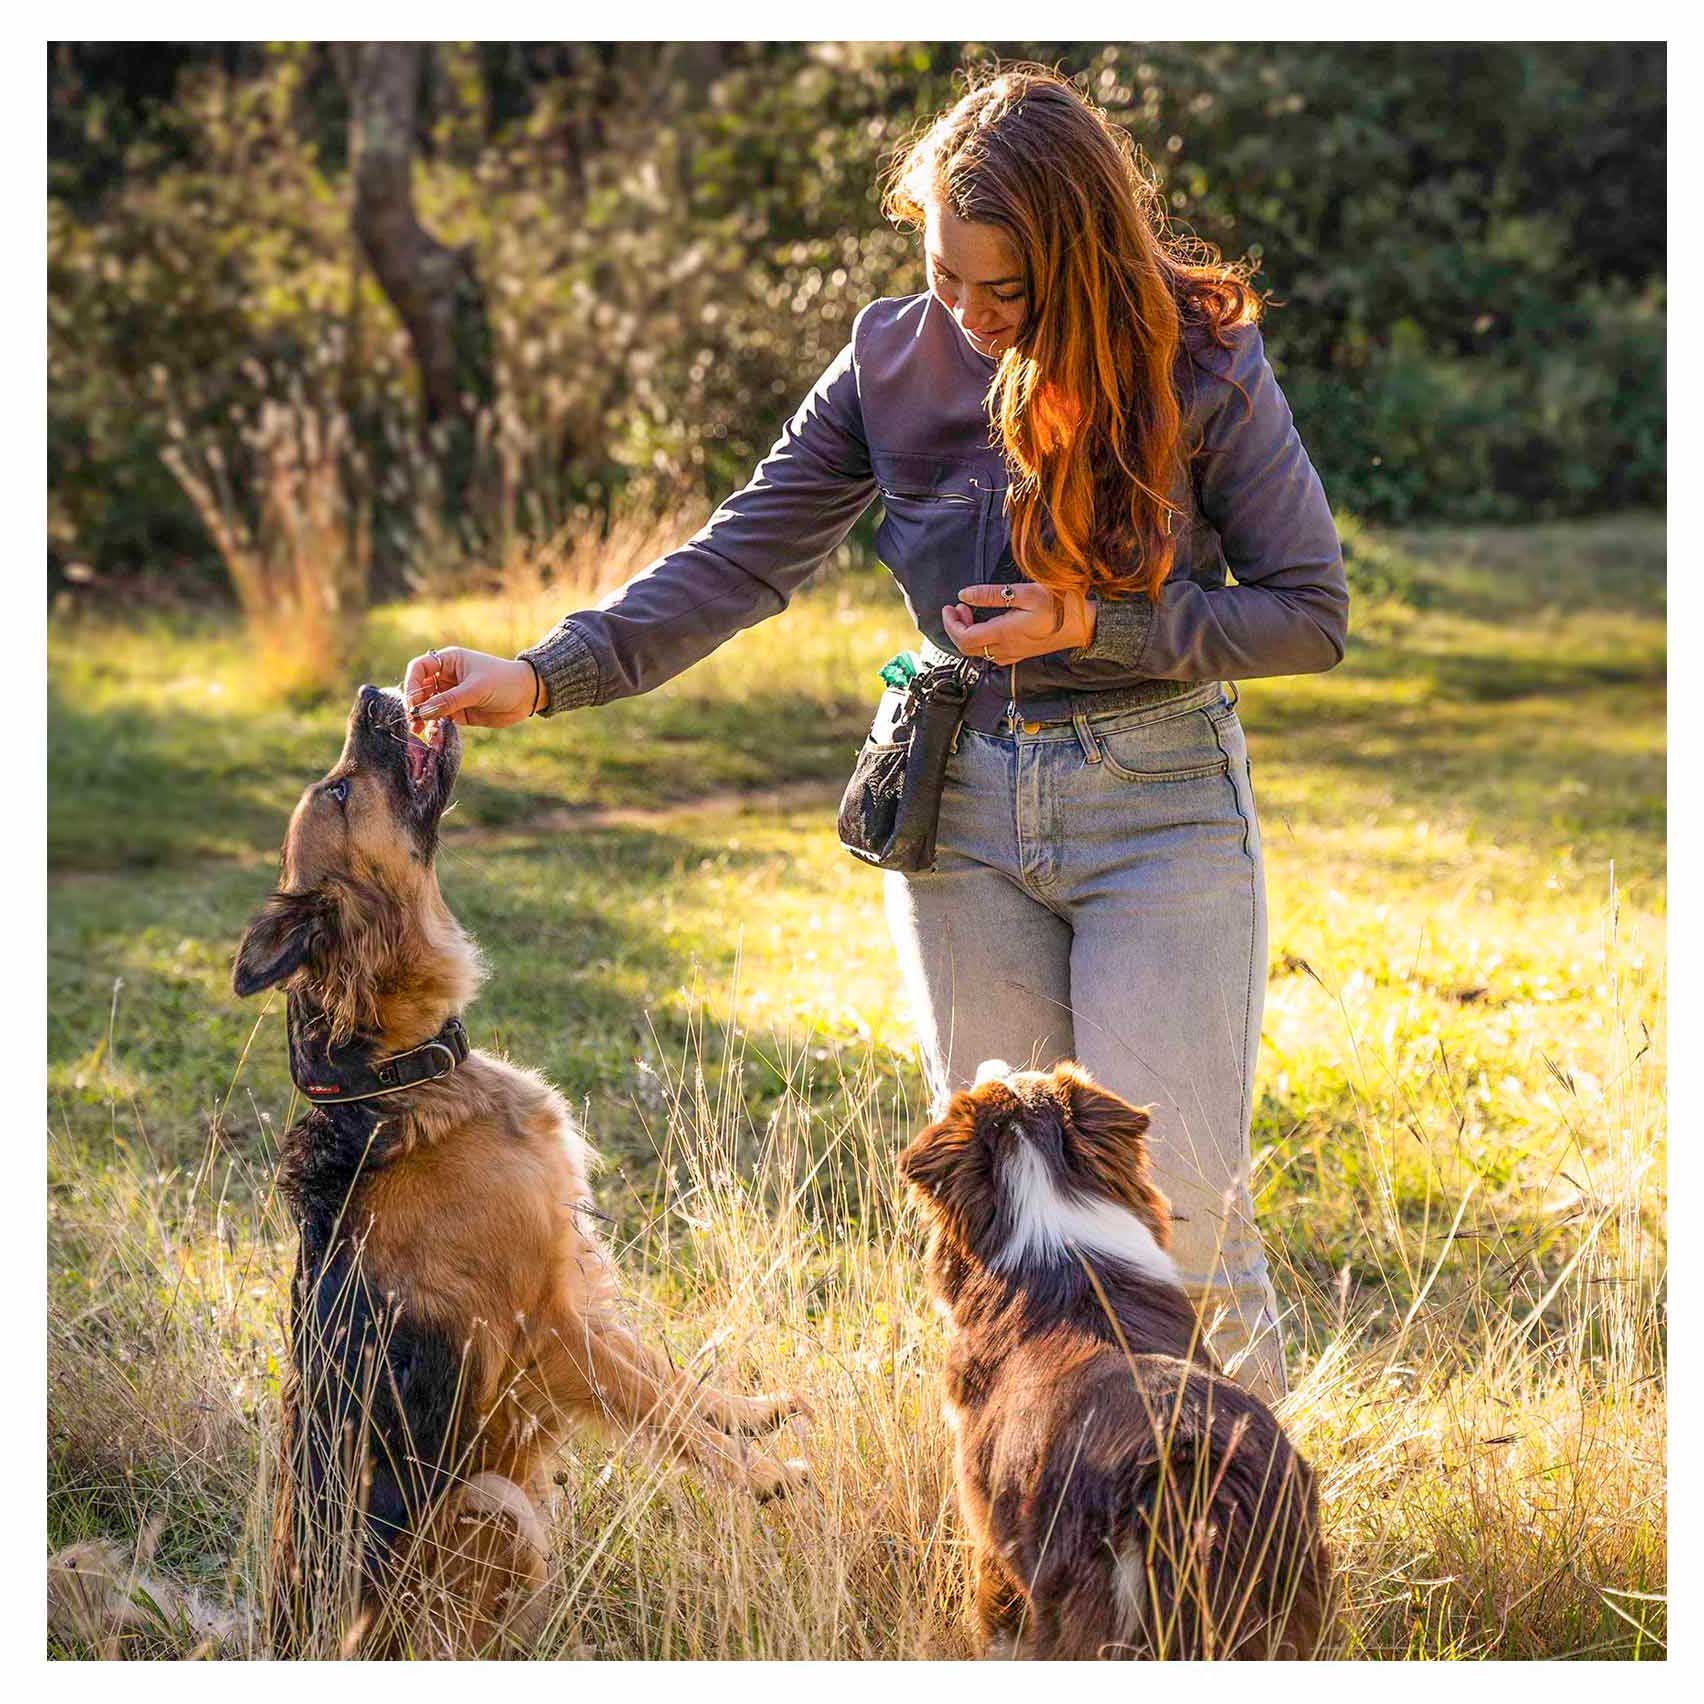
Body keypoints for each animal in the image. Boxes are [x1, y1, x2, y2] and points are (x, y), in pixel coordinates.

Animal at [235, 688, 811, 1649]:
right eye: (341, 790)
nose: (370, 694)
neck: (401, 1074)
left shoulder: (571, 1289)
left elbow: (669, 1377)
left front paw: (747, 1416)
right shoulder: (546, 1327)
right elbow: (656, 1408)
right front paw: (758, 1474)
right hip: (497, 1505)